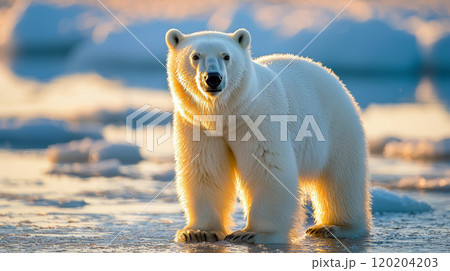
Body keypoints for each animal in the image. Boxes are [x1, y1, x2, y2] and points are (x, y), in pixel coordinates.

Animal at [165, 28, 372, 245]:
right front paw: (197, 232)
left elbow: (266, 167)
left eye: (226, 56)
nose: (213, 78)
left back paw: (334, 227)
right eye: (195, 56)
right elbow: (204, 168)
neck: (227, 114)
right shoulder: (198, 125)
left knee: (342, 178)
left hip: (336, 125)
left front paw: (252, 233)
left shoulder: (258, 117)